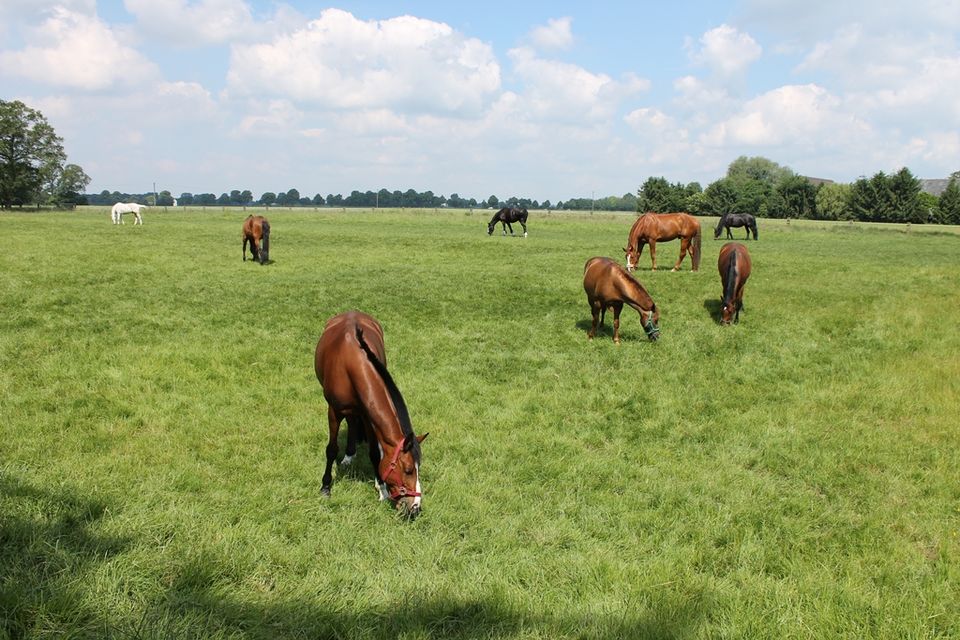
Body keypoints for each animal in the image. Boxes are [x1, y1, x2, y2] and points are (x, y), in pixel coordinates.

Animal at [316, 312, 428, 520]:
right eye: (409, 470)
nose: (415, 507)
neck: (350, 362)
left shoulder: (367, 416)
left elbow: (375, 453)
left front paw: (381, 489)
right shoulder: (333, 411)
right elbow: (331, 449)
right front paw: (326, 486)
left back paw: (350, 454)